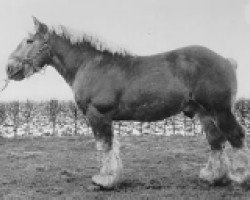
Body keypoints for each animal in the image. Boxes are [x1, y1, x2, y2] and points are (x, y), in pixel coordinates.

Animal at [5, 17, 250, 189]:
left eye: (29, 41)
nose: (9, 68)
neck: (91, 63)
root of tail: (226, 60)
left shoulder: (98, 115)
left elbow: (104, 146)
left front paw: (104, 180)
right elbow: (111, 147)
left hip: (220, 110)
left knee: (236, 136)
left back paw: (241, 176)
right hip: (206, 114)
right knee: (216, 142)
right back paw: (213, 177)